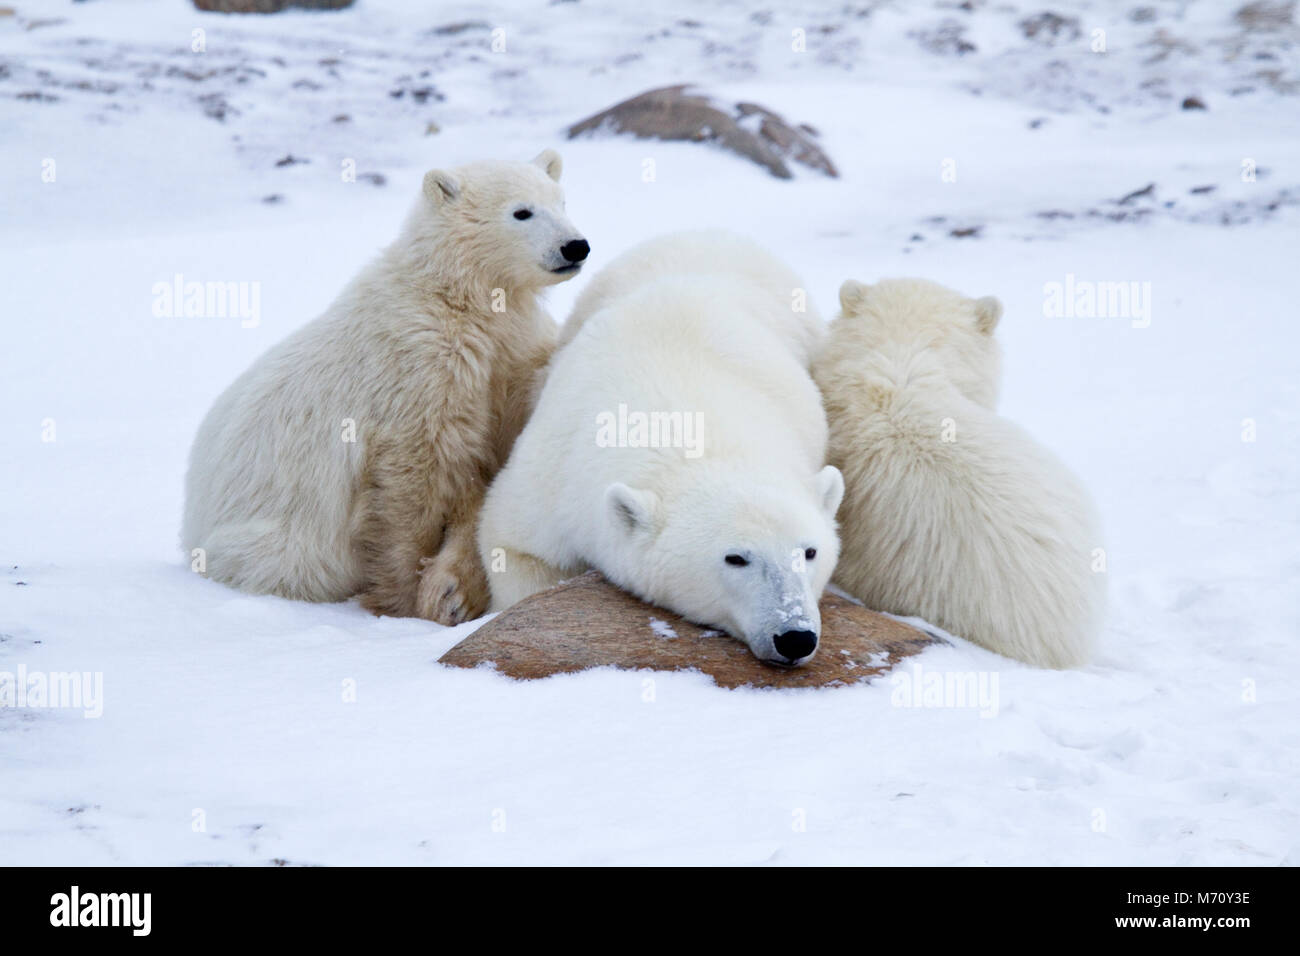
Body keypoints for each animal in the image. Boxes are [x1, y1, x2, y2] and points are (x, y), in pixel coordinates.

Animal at [183, 152, 590, 624]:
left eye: (562, 201)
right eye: (522, 211)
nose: (576, 246)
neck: (457, 297)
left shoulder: (509, 358)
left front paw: (451, 589)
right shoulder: (418, 365)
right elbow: (415, 477)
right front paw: (410, 598)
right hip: (274, 534)